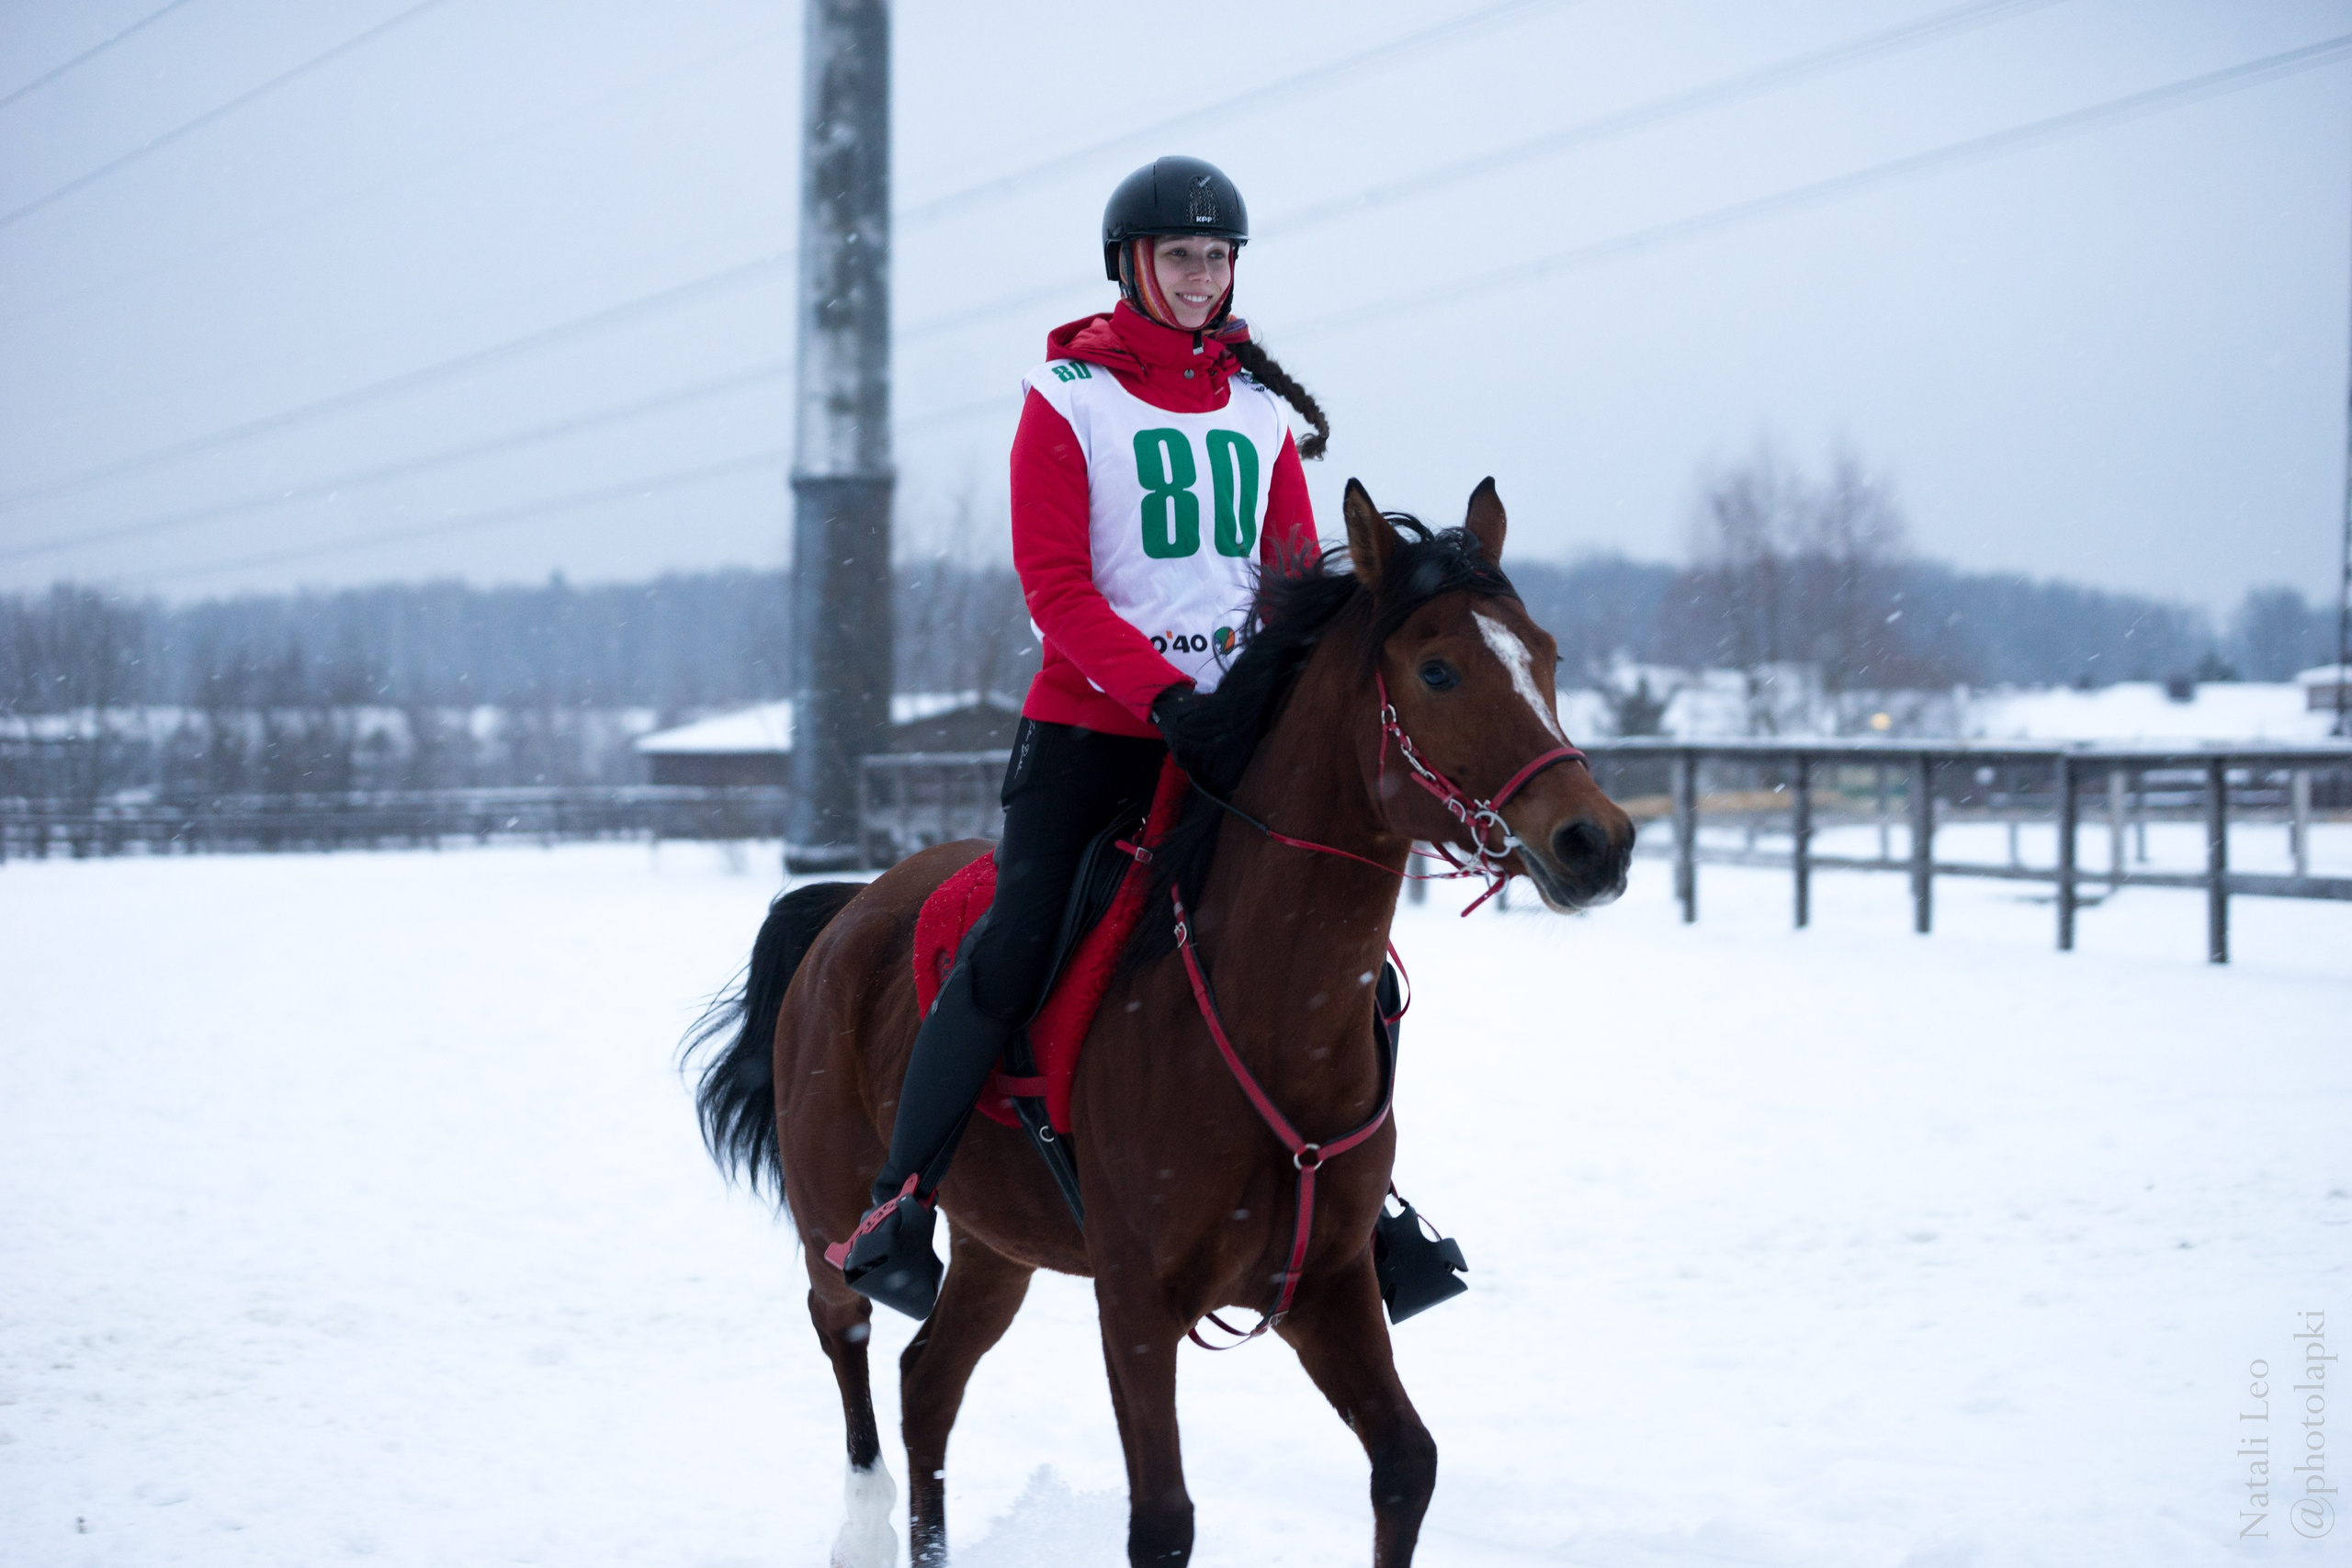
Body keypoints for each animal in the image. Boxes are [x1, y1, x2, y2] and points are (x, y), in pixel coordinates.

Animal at [689, 478, 1635, 1567]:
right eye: (1437, 669)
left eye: (1548, 656)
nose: (1597, 841)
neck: (1271, 1014)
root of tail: (845, 908)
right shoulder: (1136, 1302)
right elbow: (1164, 1522)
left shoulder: (1325, 1284)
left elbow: (1407, 1463)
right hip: (835, 1216)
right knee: (844, 1328)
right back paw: (865, 1519)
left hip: (997, 1245)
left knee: (928, 1381)